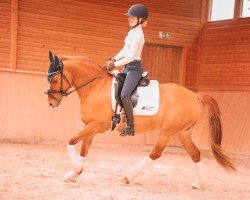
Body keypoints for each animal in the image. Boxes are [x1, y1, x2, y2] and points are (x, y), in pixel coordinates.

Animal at [45, 50, 236, 189]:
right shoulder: (90, 127)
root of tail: (195, 96)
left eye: (54, 79)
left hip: (168, 132)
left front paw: (75, 169)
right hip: (182, 133)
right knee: (195, 153)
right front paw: (74, 174)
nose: (51, 103)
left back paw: (127, 177)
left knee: (155, 154)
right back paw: (199, 184)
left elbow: (70, 141)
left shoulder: (97, 125)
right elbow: (83, 151)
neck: (95, 87)